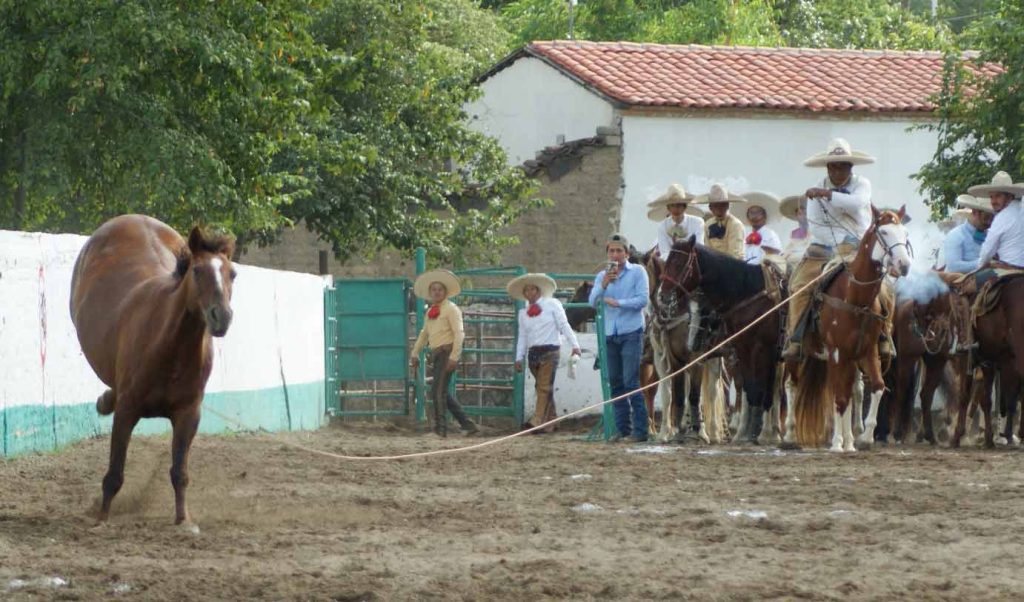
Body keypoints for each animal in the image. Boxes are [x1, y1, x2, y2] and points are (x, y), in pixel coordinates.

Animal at [72, 215, 235, 528]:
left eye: (232, 274)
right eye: (197, 270)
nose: (221, 316)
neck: (169, 347)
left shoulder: (188, 415)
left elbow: (179, 473)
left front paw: (184, 520)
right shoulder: (127, 411)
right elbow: (114, 473)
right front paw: (102, 518)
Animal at [659, 237, 786, 444]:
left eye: (678, 264)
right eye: (666, 262)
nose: (663, 296)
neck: (749, 294)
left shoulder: (761, 350)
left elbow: (695, 395)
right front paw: (678, 432)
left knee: (773, 390)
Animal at [790, 206, 913, 450]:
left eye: (905, 233)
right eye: (884, 232)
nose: (903, 265)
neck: (855, 299)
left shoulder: (868, 350)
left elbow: (876, 386)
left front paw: (864, 437)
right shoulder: (837, 352)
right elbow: (839, 397)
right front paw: (837, 443)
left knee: (851, 390)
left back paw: (850, 440)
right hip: (801, 354)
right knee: (795, 385)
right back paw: (795, 436)